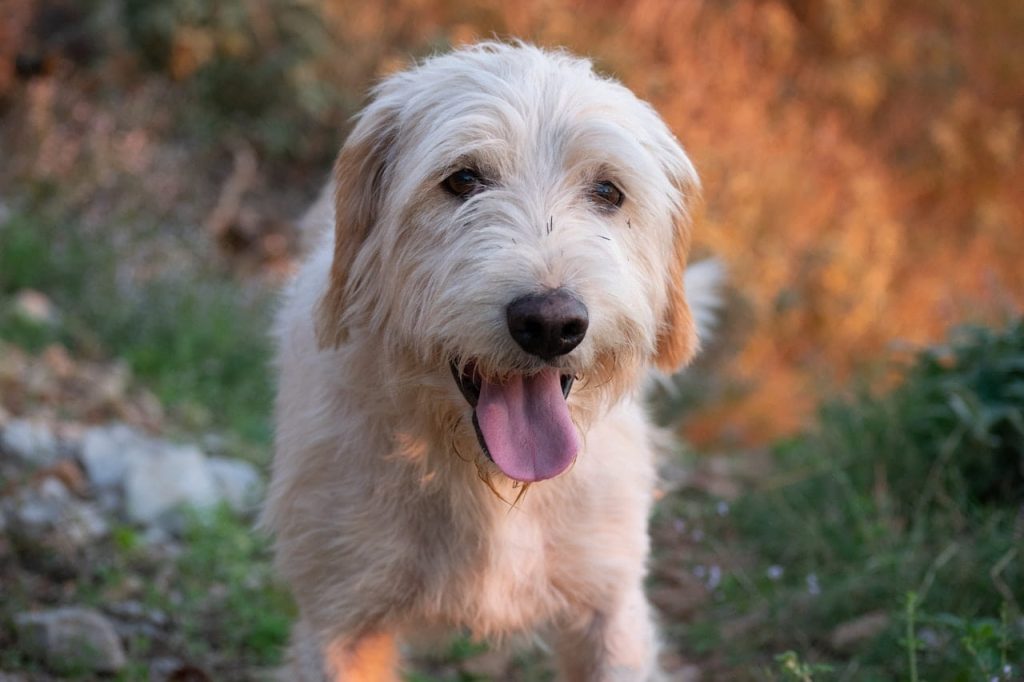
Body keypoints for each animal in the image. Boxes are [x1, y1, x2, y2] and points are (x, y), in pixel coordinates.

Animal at [260, 42, 716, 679]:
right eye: (463, 179)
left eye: (607, 192)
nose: (550, 324)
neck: (487, 485)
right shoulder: (340, 624)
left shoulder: (610, 611)